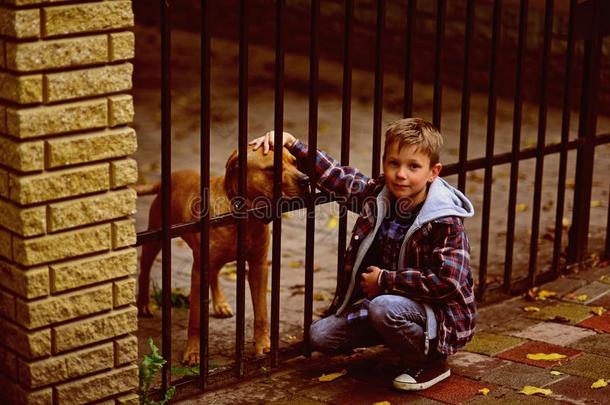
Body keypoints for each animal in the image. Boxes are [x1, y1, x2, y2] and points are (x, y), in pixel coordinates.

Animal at [138, 147, 308, 364]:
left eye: (295, 162)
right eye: (272, 169)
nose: (306, 179)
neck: (244, 214)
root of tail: (166, 180)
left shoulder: (259, 267)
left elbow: (261, 314)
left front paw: (264, 345)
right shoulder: (198, 272)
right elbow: (195, 319)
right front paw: (193, 351)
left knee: (215, 275)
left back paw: (219, 303)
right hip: (155, 239)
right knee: (144, 270)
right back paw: (144, 303)